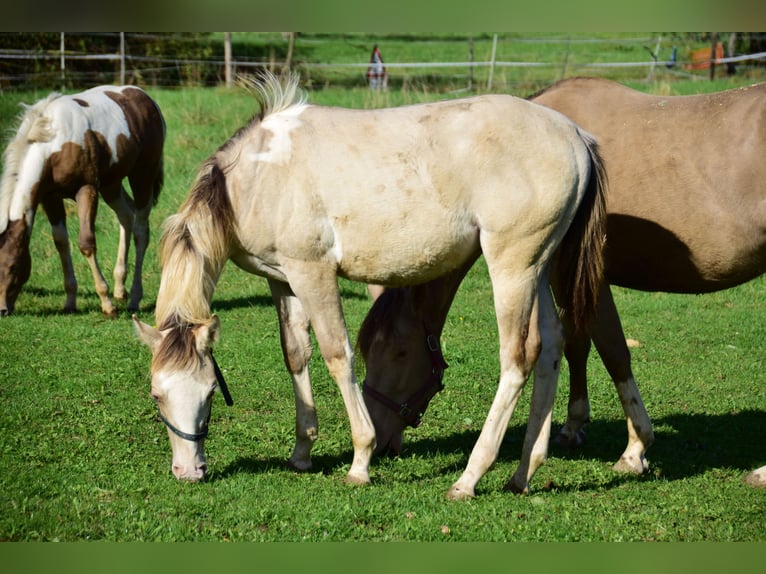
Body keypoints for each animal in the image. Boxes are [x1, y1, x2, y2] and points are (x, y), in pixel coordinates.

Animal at [0, 85, 166, 318]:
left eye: (14, 266)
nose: (2, 309)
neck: (53, 143)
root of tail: (145, 97)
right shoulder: (50, 197)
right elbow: (61, 242)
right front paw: (70, 301)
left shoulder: (86, 190)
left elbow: (86, 243)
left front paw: (106, 303)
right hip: (111, 185)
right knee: (126, 216)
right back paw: (120, 288)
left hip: (142, 176)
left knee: (141, 231)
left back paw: (134, 298)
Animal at [134, 73, 612, 496]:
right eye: (157, 396)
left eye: (211, 391)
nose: (188, 472)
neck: (257, 177)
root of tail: (576, 135)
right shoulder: (283, 280)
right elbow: (296, 356)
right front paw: (302, 451)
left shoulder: (313, 274)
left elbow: (337, 356)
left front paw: (360, 461)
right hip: (538, 267)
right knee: (551, 347)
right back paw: (524, 471)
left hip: (511, 266)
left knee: (518, 357)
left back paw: (469, 478)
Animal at [360, 76, 766, 490]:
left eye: (396, 353)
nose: (380, 439)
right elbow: (579, 347)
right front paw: (576, 426)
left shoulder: (579, 277)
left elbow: (610, 351)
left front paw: (634, 448)